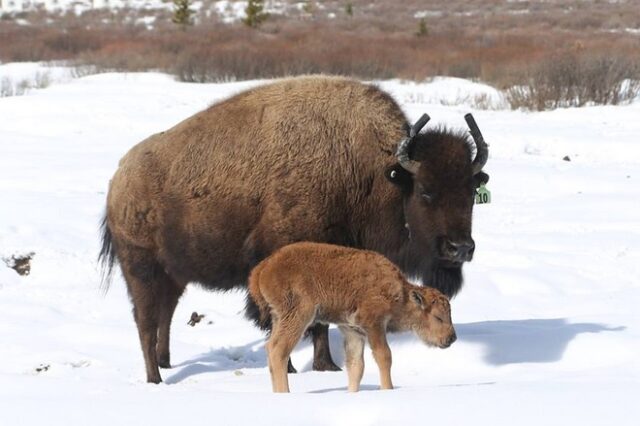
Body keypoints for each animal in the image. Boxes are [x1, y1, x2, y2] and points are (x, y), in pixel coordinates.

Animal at [246, 243, 456, 392]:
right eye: (438, 317)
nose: (451, 338)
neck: (402, 295)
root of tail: (264, 267)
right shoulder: (374, 324)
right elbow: (384, 356)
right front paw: (388, 389)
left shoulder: (353, 331)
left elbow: (356, 366)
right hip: (298, 316)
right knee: (278, 350)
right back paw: (285, 393)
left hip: (278, 318)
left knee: (272, 348)